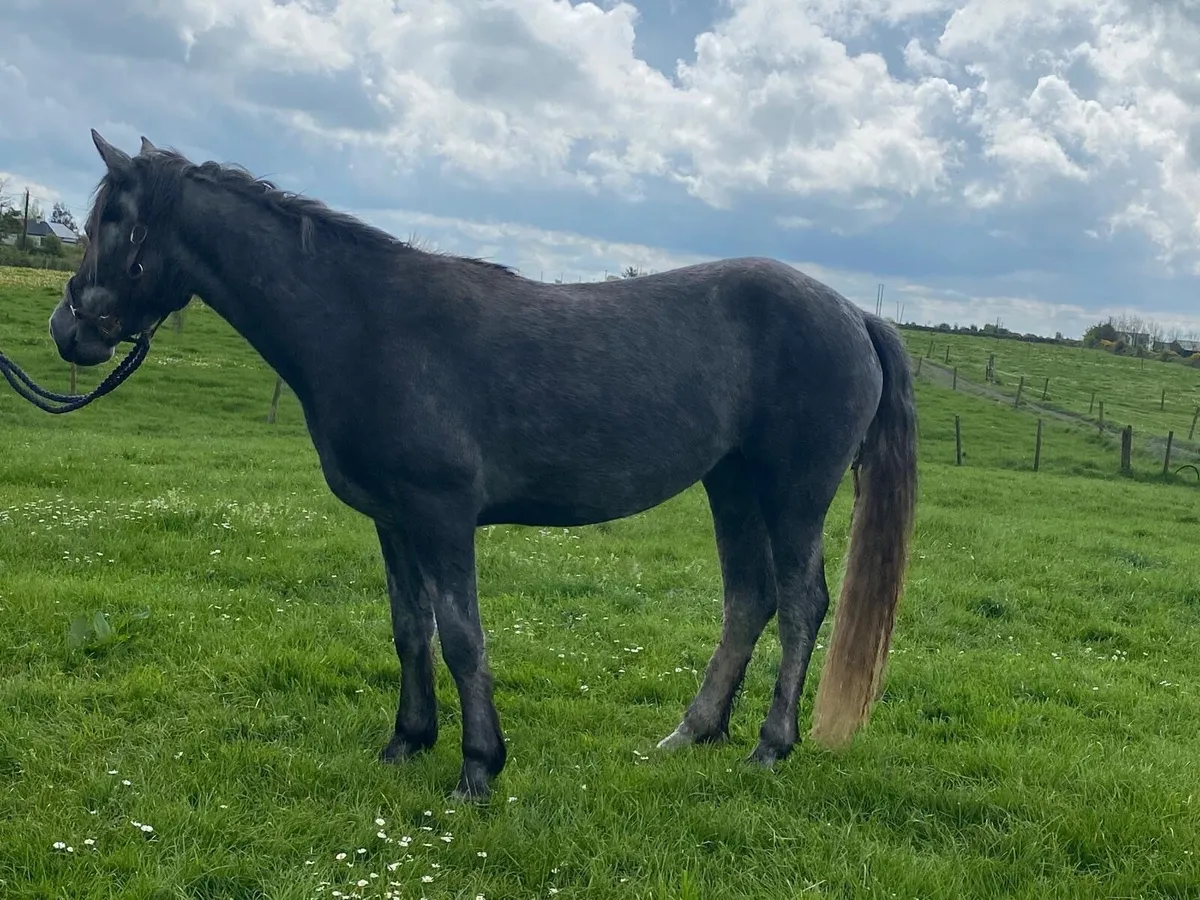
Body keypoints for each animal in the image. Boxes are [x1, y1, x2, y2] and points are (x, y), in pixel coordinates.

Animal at [48, 129, 918, 800]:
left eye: (115, 223)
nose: (68, 330)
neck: (368, 325)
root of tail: (852, 312)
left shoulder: (442, 517)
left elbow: (464, 637)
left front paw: (478, 767)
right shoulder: (393, 520)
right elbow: (411, 629)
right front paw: (407, 741)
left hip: (794, 491)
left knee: (801, 603)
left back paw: (770, 746)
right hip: (730, 483)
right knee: (748, 600)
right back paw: (690, 734)